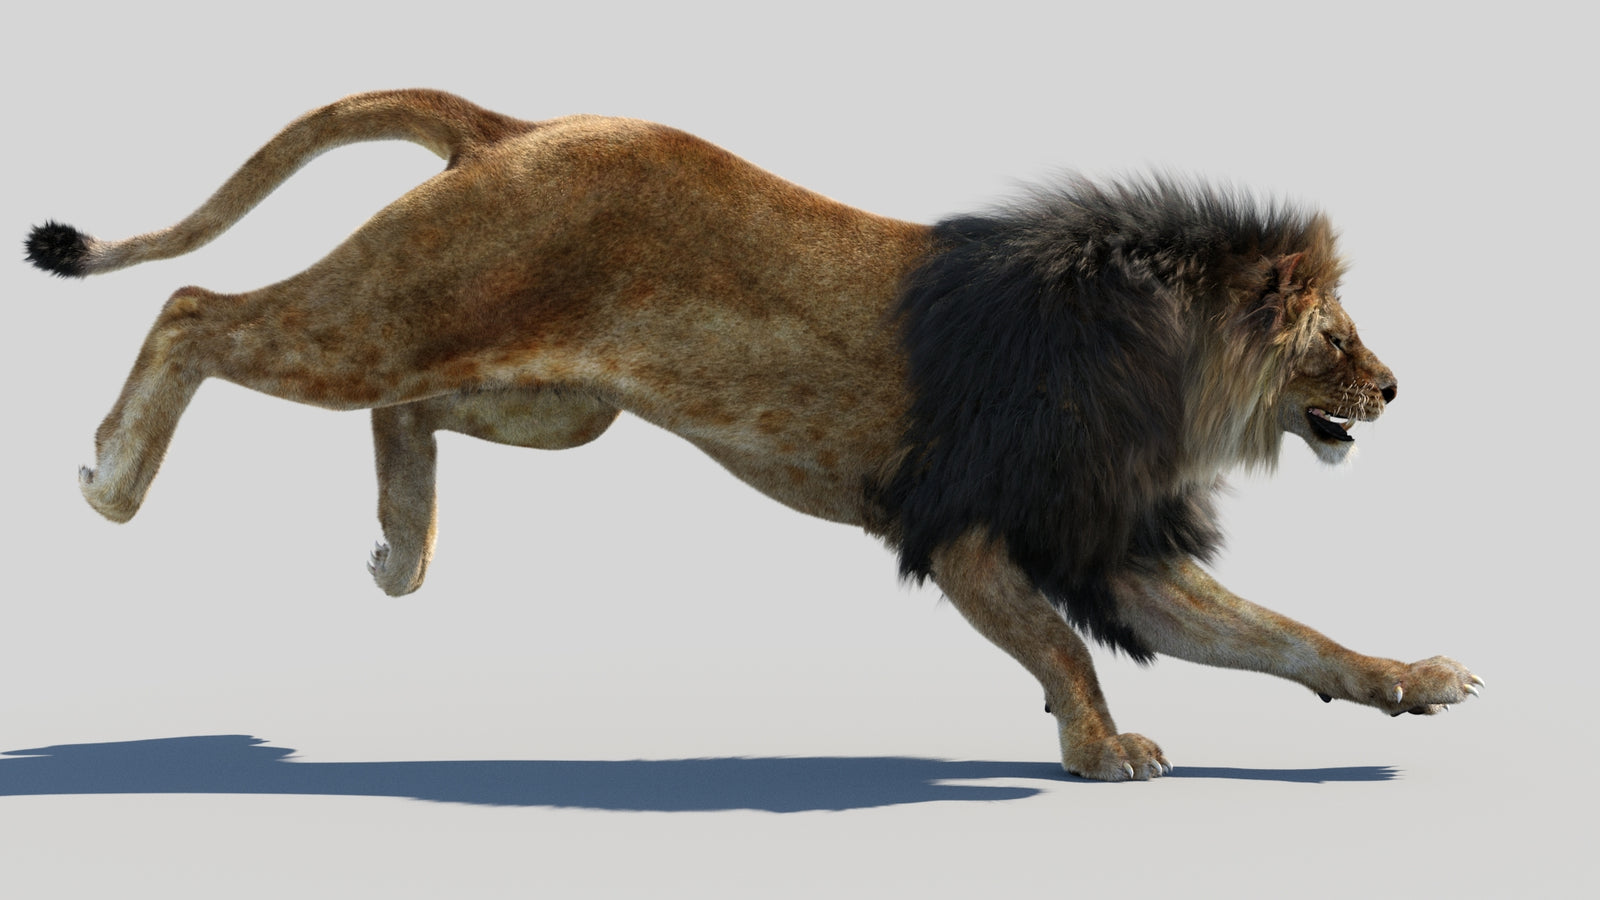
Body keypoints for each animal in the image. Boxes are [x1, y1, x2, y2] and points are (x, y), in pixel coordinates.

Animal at [25, 89, 1480, 780]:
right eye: (1335, 338)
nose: (1396, 390)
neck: (1168, 370)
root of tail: (514, 127)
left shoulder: (1105, 541)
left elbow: (1290, 636)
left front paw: (1412, 681)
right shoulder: (970, 532)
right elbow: (1069, 649)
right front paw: (1102, 750)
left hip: (547, 403)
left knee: (405, 405)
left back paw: (399, 549)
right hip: (388, 317)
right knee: (198, 311)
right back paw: (110, 482)